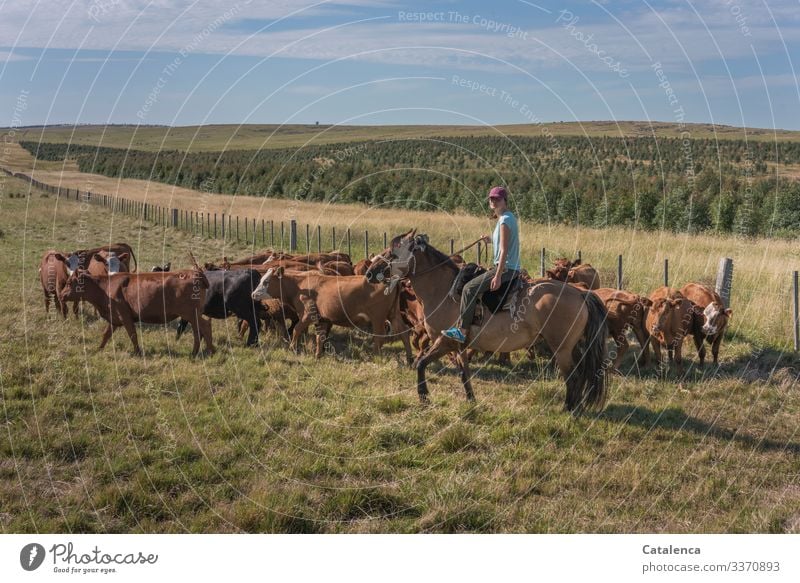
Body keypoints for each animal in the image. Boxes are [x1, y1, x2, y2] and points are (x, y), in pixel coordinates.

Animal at [59, 270, 214, 356]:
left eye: (69, 283)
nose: (60, 295)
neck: (105, 287)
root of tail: (196, 273)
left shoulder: (124, 316)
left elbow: (132, 334)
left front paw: (138, 352)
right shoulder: (115, 318)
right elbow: (106, 334)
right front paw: (99, 349)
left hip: (190, 313)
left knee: (204, 327)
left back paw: (208, 351)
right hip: (192, 315)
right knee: (199, 330)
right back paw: (199, 352)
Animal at [366, 230, 608, 412]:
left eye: (392, 252)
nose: (369, 272)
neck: (443, 290)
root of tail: (580, 294)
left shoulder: (445, 341)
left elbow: (422, 363)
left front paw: (424, 396)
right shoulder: (458, 345)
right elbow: (463, 372)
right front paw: (471, 399)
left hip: (562, 348)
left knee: (573, 376)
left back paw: (569, 409)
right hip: (572, 347)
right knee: (580, 375)